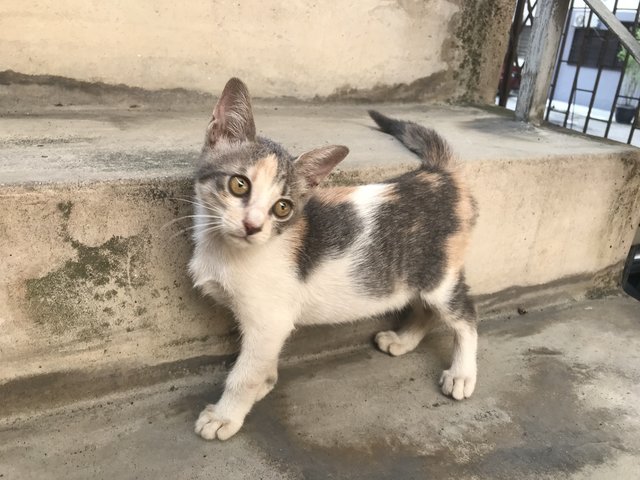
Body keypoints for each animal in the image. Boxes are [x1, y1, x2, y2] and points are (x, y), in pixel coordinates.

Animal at [188, 77, 478, 440]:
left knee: (465, 317)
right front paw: (265, 381)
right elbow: (262, 359)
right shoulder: (271, 322)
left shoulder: (268, 319)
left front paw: (226, 415)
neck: (224, 248)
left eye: (282, 207)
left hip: (438, 275)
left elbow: (244, 373)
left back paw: (463, 373)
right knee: (426, 308)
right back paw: (403, 340)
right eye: (239, 184)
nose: (252, 226)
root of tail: (437, 174)